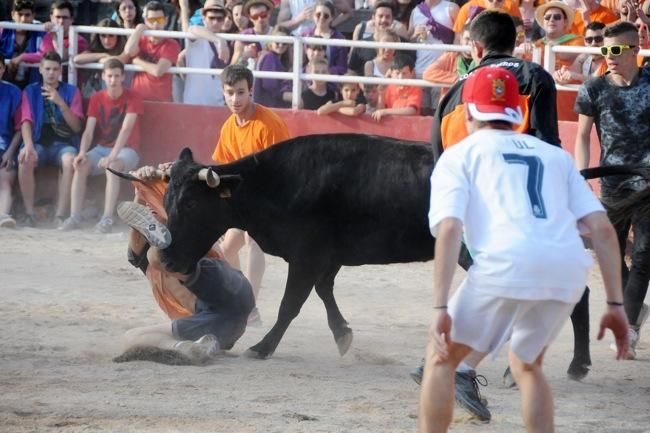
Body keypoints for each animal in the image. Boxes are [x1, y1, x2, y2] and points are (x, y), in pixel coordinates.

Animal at [112, 132, 648, 378]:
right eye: (168, 201)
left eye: (191, 206)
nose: (168, 262)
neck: (272, 182)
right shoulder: (324, 258)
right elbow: (323, 295)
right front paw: (345, 337)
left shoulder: (306, 254)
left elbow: (290, 304)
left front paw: (261, 347)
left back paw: (574, 364)